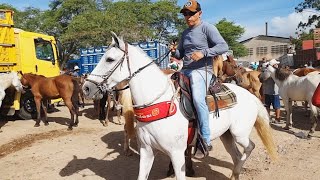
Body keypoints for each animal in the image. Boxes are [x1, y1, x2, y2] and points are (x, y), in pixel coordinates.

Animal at [82, 32, 278, 180]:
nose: (86, 87)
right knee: (237, 155)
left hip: (239, 133)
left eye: (109, 59)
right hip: (227, 135)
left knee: (249, 148)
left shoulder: (177, 154)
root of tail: (250, 95)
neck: (158, 102)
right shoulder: (147, 151)